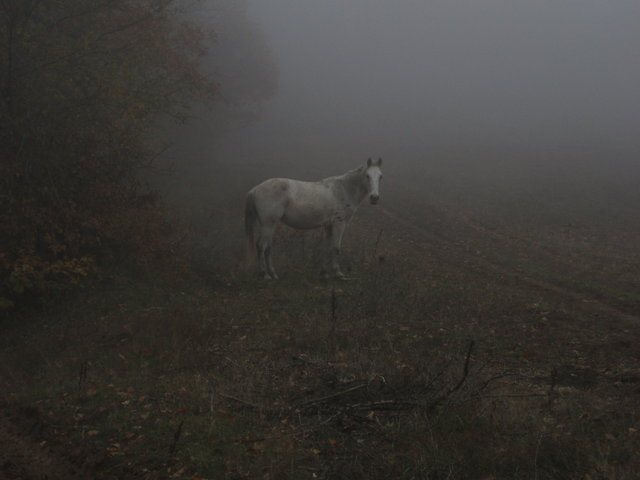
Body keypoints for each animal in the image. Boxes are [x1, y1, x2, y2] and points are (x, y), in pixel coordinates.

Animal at [246, 158, 382, 280]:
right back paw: (265, 275)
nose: (374, 198)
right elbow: (336, 248)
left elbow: (328, 247)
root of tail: (255, 190)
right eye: (367, 176)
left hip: (271, 225)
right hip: (268, 225)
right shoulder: (339, 224)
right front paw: (338, 273)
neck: (343, 190)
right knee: (261, 246)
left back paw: (273, 274)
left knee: (268, 248)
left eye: (380, 176)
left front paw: (324, 273)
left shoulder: (329, 225)